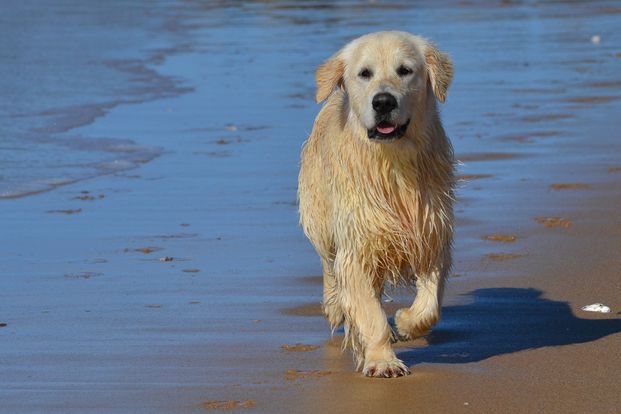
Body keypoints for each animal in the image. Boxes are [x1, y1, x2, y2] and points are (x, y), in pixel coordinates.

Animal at [298, 30, 452, 376]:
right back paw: (335, 306)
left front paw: (406, 323)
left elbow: (430, 303)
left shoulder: (431, 231)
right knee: (328, 266)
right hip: (320, 221)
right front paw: (383, 361)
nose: (383, 102)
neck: (392, 163)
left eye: (405, 70)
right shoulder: (356, 245)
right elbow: (369, 313)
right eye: (364, 73)